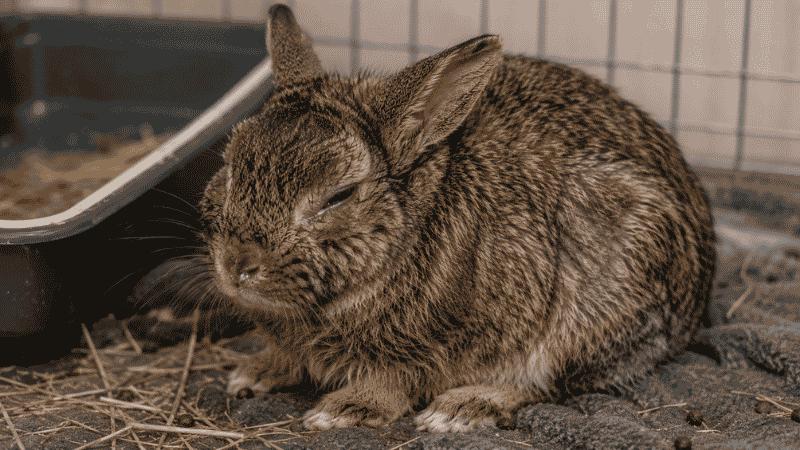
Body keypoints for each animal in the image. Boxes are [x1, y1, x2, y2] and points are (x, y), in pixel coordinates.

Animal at [198, 4, 716, 432]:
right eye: (229, 168)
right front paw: (254, 372)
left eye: (339, 196)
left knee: (547, 382)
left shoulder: (434, 345)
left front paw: (343, 410)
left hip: (587, 317)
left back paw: (462, 408)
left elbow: (395, 382)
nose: (238, 265)